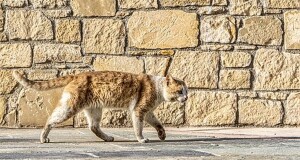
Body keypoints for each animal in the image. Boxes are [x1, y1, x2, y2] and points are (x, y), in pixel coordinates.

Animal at [13, 70, 188, 143]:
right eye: (180, 91)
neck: (157, 88)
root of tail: (77, 75)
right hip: (69, 107)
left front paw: (162, 135)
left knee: (93, 127)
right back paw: (43, 138)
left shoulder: (149, 112)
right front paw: (141, 139)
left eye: (187, 91)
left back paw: (108, 138)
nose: (186, 98)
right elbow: (138, 128)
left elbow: (158, 124)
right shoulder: (139, 110)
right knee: (50, 119)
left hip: (95, 110)